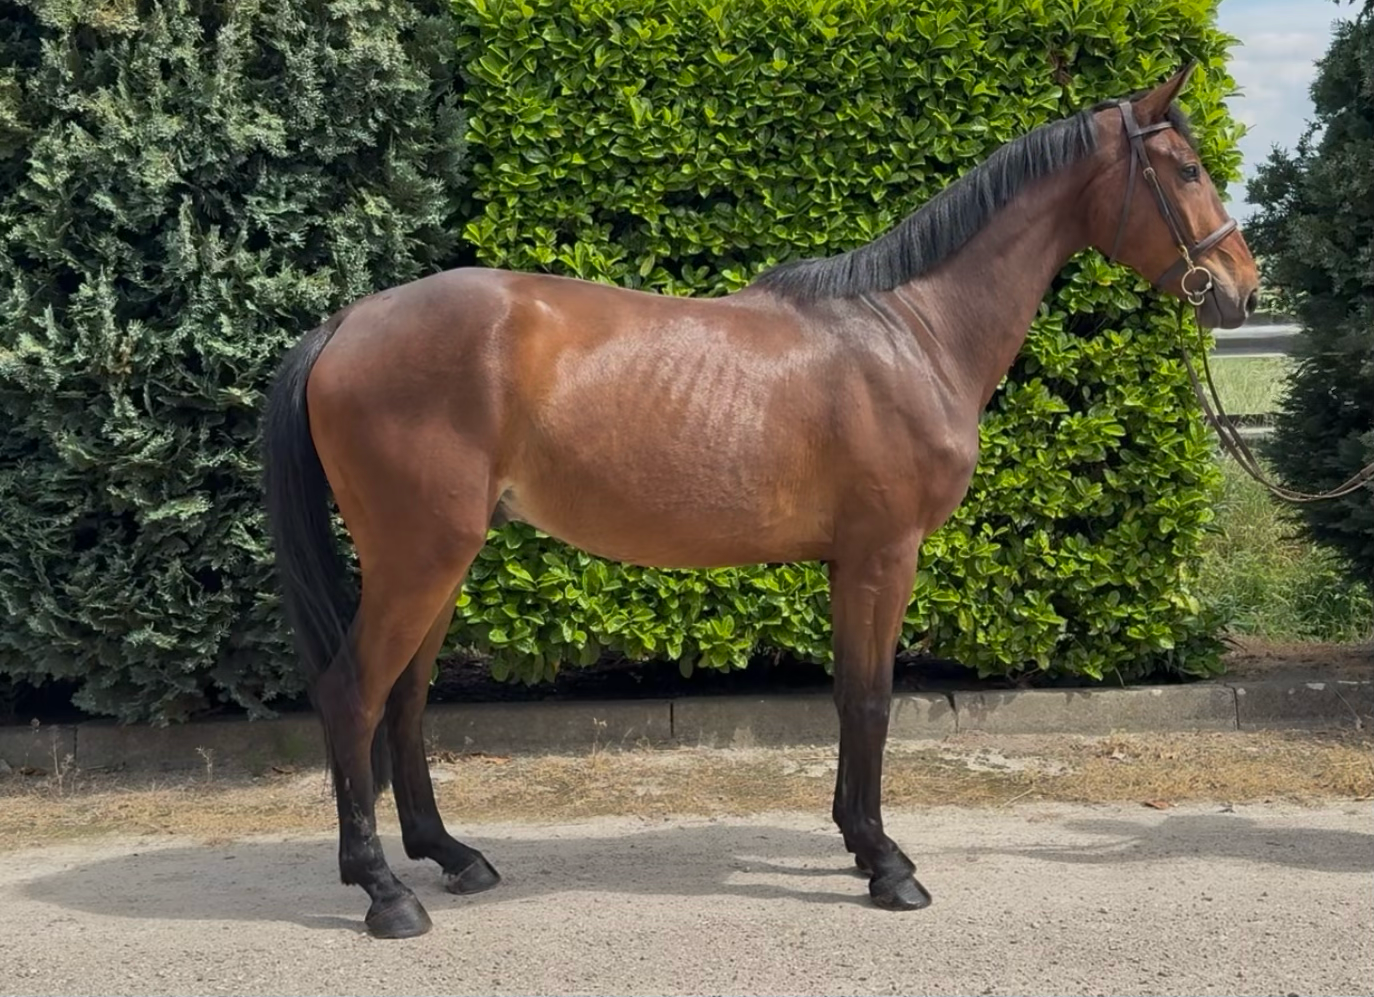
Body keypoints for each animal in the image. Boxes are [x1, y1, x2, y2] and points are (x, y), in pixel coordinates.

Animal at [262, 62, 1259, 938]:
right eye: (1186, 169)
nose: (1242, 289)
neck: (911, 331)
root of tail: (346, 322)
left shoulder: (849, 562)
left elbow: (850, 698)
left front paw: (862, 846)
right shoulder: (884, 555)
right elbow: (872, 701)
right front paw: (888, 867)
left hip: (440, 558)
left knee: (404, 699)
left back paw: (453, 856)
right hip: (420, 556)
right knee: (354, 693)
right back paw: (386, 893)